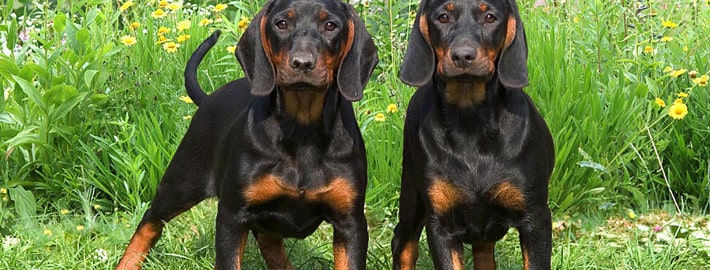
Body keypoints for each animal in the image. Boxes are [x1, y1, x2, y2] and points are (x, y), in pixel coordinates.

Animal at [117, 1, 382, 268]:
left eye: (330, 25)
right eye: (281, 23)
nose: (302, 63)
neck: (302, 128)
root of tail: (209, 98)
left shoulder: (351, 223)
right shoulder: (233, 215)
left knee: (269, 243)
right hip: (182, 182)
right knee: (150, 221)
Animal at [394, 0, 556, 270]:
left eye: (490, 17)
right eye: (443, 17)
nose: (462, 56)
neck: (470, 122)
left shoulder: (536, 218)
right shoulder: (440, 226)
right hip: (411, 193)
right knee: (403, 244)